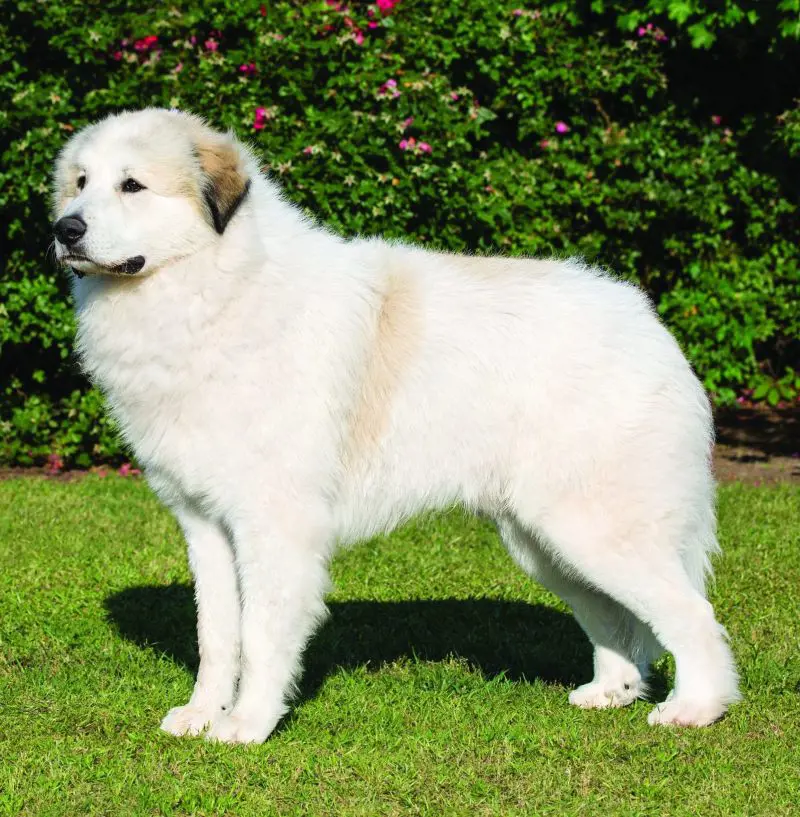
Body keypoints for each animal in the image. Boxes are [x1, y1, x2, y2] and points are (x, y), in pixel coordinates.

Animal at [48, 107, 736, 740]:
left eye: (132, 185)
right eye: (81, 182)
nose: (64, 228)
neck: (215, 289)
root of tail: (647, 322)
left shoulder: (275, 524)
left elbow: (262, 632)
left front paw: (247, 724)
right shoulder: (204, 524)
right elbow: (217, 634)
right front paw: (201, 714)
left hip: (593, 528)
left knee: (695, 617)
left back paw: (695, 709)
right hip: (543, 540)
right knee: (619, 623)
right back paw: (611, 692)